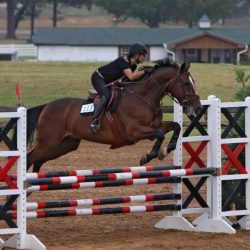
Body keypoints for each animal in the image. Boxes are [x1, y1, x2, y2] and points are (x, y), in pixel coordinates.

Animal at [13, 58, 201, 172]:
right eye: (186, 83)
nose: (198, 107)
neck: (143, 98)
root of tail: (46, 106)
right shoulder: (134, 132)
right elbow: (160, 134)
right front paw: (148, 156)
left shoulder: (153, 127)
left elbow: (175, 126)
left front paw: (166, 150)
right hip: (49, 142)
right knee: (30, 157)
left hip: (65, 144)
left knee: (38, 160)